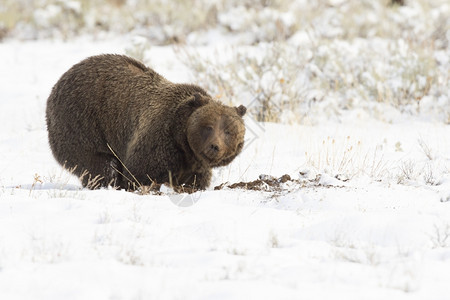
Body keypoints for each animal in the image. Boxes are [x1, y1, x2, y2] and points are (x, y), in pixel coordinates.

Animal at [45, 54, 246, 190]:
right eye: (208, 127)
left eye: (228, 131)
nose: (214, 146)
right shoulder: (158, 140)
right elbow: (141, 173)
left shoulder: (195, 165)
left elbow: (194, 182)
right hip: (81, 122)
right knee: (101, 164)